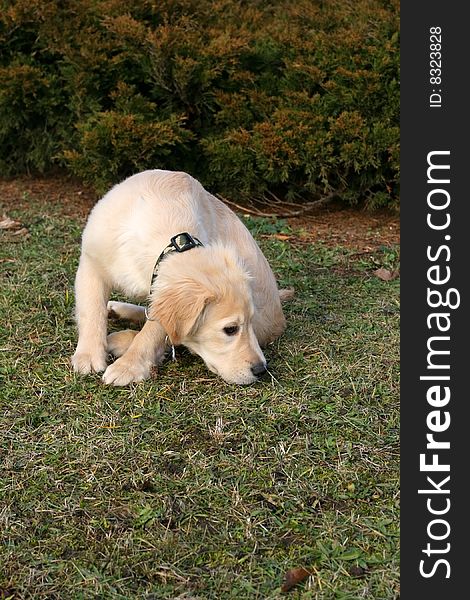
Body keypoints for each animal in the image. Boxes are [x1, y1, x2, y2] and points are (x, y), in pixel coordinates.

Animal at [70, 170, 292, 384]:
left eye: (249, 322)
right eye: (230, 329)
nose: (261, 369)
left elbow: (152, 331)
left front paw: (128, 366)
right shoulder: (91, 261)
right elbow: (92, 311)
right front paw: (88, 355)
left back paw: (120, 338)